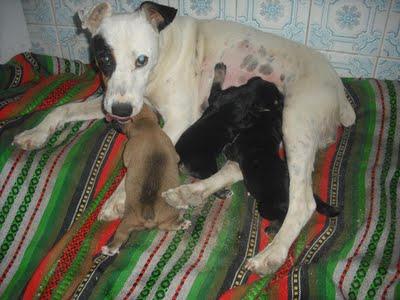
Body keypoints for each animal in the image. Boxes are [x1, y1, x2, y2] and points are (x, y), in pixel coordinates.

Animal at [102, 103, 191, 255]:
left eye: (120, 119)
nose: (110, 120)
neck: (147, 126)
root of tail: (148, 216)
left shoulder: (128, 150)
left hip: (127, 222)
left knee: (120, 236)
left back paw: (109, 249)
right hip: (167, 215)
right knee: (168, 225)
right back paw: (182, 224)